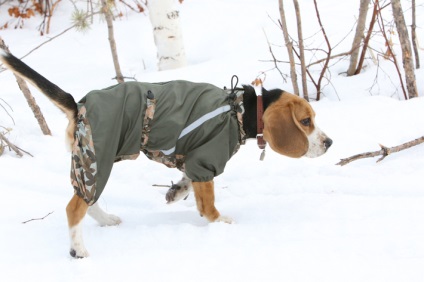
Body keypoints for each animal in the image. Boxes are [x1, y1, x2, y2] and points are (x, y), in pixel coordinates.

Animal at [0, 48, 332, 258]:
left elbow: (188, 185)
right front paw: (219, 222)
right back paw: (78, 250)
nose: (329, 143)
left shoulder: (193, 162)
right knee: (74, 208)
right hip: (99, 156)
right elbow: (208, 203)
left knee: (85, 201)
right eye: (306, 121)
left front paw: (176, 193)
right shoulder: (206, 160)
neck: (239, 110)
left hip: (90, 162)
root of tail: (78, 104)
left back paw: (106, 220)